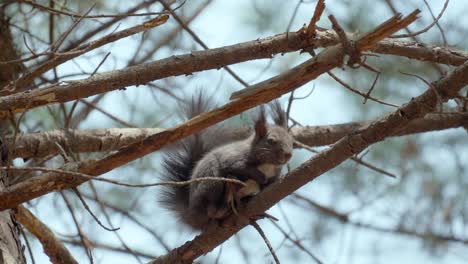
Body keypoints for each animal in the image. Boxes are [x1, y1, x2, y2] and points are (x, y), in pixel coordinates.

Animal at [161, 93, 292, 231]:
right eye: (271, 141)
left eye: (291, 141)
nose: (288, 155)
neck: (268, 165)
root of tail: (191, 215)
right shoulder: (233, 159)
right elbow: (239, 167)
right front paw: (261, 177)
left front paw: (272, 181)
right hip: (211, 183)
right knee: (212, 208)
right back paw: (221, 208)